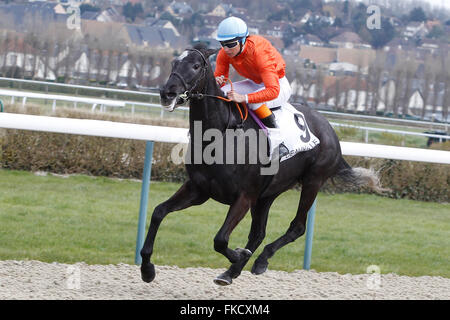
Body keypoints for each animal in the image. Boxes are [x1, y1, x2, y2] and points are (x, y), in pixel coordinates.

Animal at [140, 43, 380, 284]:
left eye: (196, 65)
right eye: (174, 63)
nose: (167, 93)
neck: (220, 135)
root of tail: (331, 131)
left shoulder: (244, 196)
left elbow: (220, 239)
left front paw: (238, 255)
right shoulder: (198, 189)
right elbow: (159, 212)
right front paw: (147, 268)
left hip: (312, 181)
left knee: (297, 227)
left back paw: (260, 260)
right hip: (268, 193)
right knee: (258, 233)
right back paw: (232, 271)